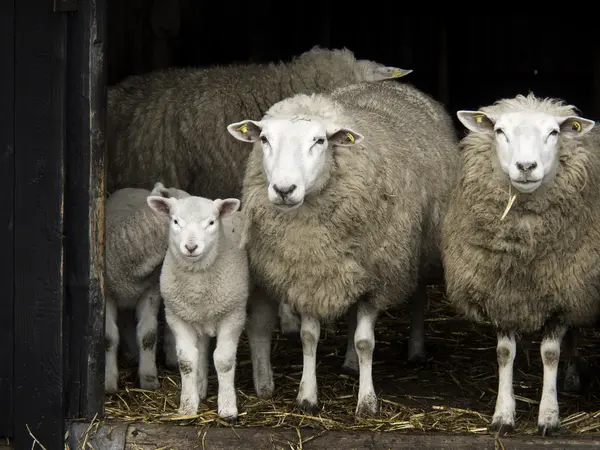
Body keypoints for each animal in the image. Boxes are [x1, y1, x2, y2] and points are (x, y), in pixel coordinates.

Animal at [148, 194, 251, 422]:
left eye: (211, 223)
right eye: (175, 221)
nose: (191, 247)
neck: (197, 285)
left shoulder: (233, 315)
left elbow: (223, 360)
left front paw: (228, 408)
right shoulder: (176, 316)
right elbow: (187, 361)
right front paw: (187, 406)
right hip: (198, 316)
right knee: (202, 349)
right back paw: (200, 387)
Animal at [225, 78, 460, 414]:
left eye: (319, 141)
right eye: (265, 139)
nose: (284, 190)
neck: (310, 232)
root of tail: (388, 84)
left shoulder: (377, 278)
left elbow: (366, 343)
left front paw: (367, 402)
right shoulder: (310, 275)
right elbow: (309, 337)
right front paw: (307, 396)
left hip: (418, 250)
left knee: (418, 296)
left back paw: (415, 350)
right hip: (351, 268)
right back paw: (349, 361)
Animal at [440, 92, 600, 436]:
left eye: (554, 132)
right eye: (499, 131)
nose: (526, 167)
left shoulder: (564, 293)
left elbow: (551, 353)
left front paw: (549, 416)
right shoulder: (500, 293)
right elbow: (504, 353)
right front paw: (503, 414)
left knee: (575, 333)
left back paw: (571, 377)